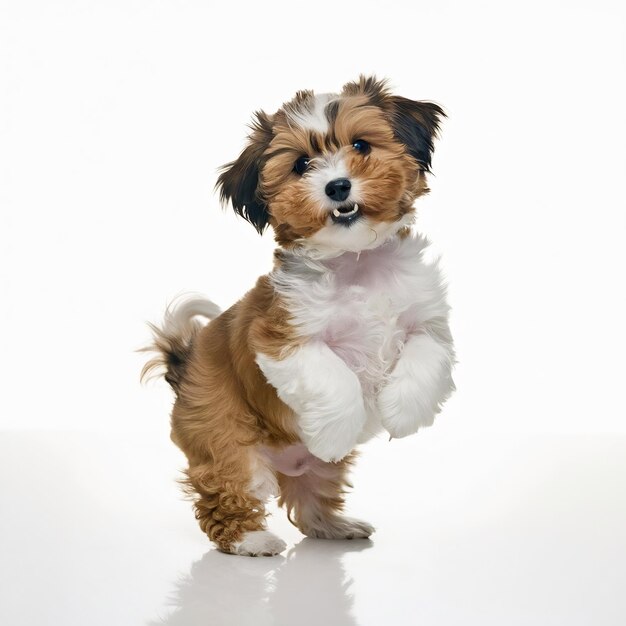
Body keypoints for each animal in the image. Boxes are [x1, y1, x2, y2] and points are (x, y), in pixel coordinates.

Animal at [141, 75, 454, 552]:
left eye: (361, 145)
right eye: (302, 164)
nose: (337, 186)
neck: (357, 263)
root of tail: (184, 366)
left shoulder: (428, 319)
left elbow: (426, 354)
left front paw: (402, 412)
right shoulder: (280, 337)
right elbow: (333, 378)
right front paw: (337, 430)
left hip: (315, 471)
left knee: (311, 499)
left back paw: (336, 526)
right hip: (225, 440)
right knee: (226, 491)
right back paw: (250, 540)